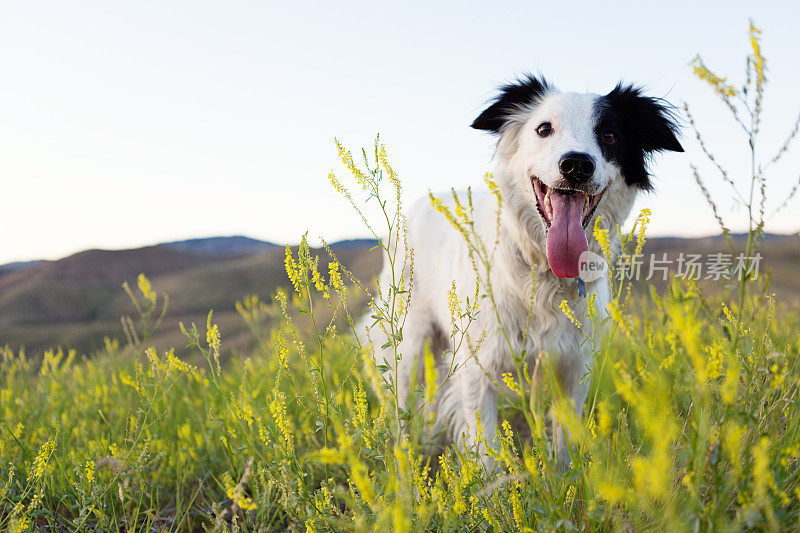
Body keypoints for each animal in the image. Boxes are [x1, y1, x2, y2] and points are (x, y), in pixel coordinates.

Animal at [368, 74, 680, 466]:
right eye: (543, 129)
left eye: (609, 135)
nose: (576, 164)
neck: (544, 273)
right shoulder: (478, 370)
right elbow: (486, 451)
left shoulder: (573, 368)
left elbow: (564, 446)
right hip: (407, 341)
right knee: (400, 400)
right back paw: (402, 463)